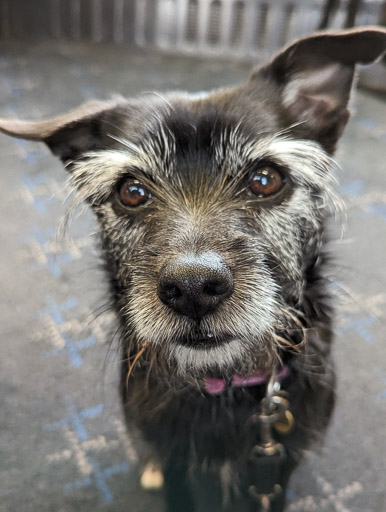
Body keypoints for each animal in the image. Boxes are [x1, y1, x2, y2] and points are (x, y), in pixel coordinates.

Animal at [2, 29, 386, 512]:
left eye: (266, 179)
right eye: (132, 191)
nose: (193, 288)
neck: (223, 383)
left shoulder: (278, 465)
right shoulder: (175, 461)